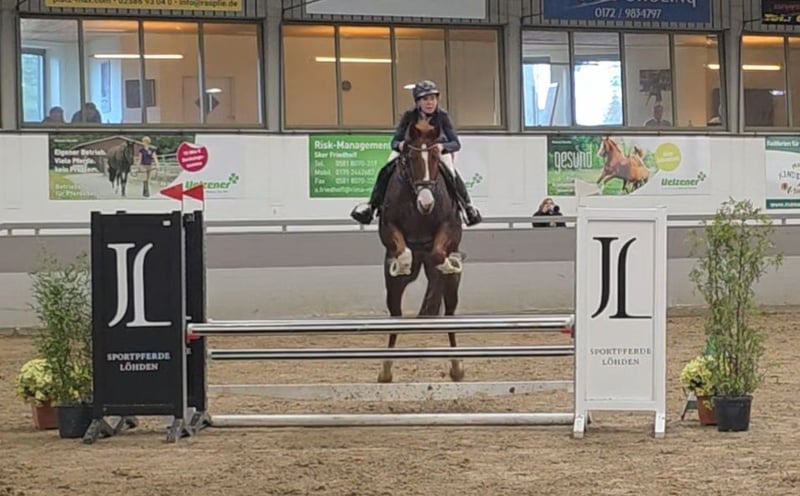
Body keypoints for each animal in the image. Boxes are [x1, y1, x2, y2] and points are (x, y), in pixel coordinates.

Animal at [376, 119, 465, 384]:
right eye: (411, 158)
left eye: (436, 157)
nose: (426, 203)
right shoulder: (388, 227)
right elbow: (402, 250)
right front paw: (401, 264)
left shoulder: (449, 226)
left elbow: (438, 252)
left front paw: (446, 263)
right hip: (393, 291)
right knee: (395, 315)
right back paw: (386, 370)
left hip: (453, 288)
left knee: (450, 313)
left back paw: (457, 366)